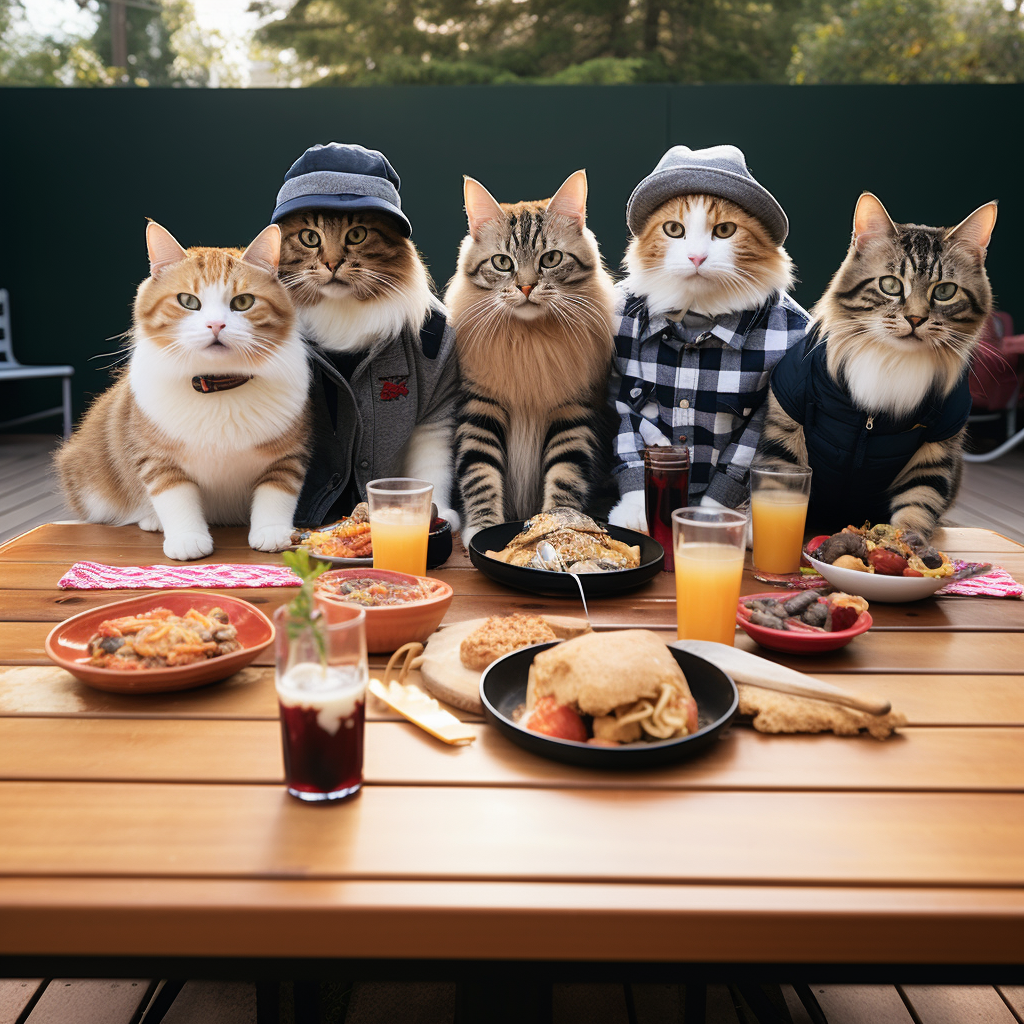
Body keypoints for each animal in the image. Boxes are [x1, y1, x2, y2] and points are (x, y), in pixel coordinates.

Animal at [55, 220, 309, 565]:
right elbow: (174, 497)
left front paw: (272, 531)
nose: (216, 325)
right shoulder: (156, 458)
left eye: (243, 302)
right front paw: (187, 538)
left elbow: (278, 491)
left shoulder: (287, 456)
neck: (217, 388)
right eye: (188, 301)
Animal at [442, 172, 614, 548]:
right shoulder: (480, 408)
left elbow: (564, 476)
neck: (529, 341)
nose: (525, 287)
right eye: (502, 263)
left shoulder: (571, 411)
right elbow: (481, 474)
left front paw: (559, 523)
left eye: (550, 259)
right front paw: (484, 527)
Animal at [606, 144, 806, 528]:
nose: (696, 257)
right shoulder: (623, 386)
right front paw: (634, 512)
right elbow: (633, 441)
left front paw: (707, 523)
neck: (698, 317)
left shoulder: (765, 407)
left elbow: (733, 466)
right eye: (673, 229)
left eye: (725, 230)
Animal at [757, 194, 995, 540]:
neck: (891, 359)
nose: (915, 318)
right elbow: (780, 485)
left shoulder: (937, 448)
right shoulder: (785, 422)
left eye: (945, 291)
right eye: (890, 285)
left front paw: (907, 545)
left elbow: (917, 503)